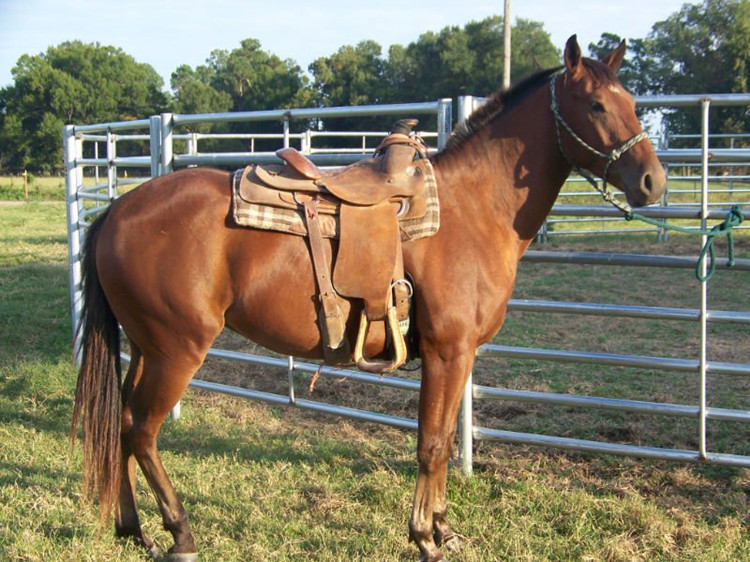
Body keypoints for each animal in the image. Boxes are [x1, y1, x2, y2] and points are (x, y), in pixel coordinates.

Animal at [72, 36, 668, 560]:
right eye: (595, 104)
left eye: (632, 103)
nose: (652, 182)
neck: (472, 209)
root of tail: (117, 212)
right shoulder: (449, 352)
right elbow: (431, 443)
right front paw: (425, 538)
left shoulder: (461, 356)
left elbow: (442, 440)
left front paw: (444, 528)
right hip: (177, 350)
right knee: (141, 431)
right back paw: (180, 534)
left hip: (146, 349)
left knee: (120, 425)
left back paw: (133, 529)